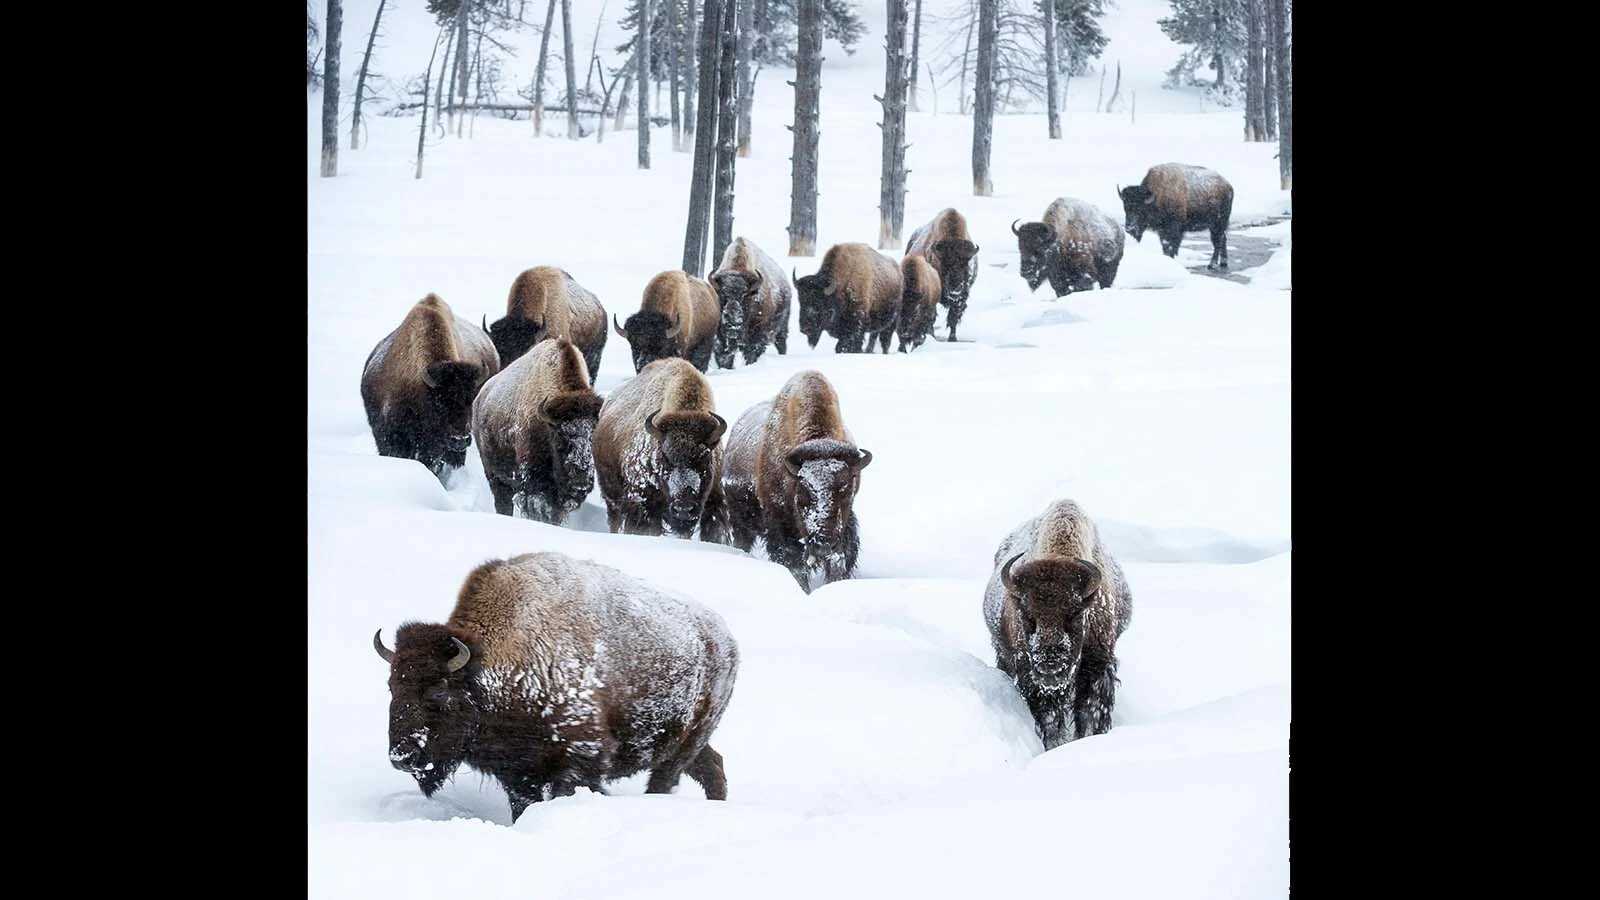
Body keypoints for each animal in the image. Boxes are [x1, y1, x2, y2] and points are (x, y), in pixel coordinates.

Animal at [374, 550, 740, 823]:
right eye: (392, 688)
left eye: (438, 692)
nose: (402, 756)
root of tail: (726, 638)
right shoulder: (519, 773)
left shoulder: (580, 758)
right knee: (712, 765)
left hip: (686, 743)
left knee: (668, 778)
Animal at [470, 337, 603, 524]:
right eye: (560, 439)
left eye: (594, 438)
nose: (580, 479)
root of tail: (480, 397)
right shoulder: (533, 486)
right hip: (495, 475)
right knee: (502, 501)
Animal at [708, 236, 793, 369]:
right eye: (722, 293)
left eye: (745, 295)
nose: (732, 318)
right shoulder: (721, 339)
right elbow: (724, 357)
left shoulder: (756, 338)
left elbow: (751, 353)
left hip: (782, 328)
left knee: (781, 343)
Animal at [721, 369, 872, 593]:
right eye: (803, 492)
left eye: (846, 491)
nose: (822, 544)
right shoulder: (782, 529)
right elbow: (795, 567)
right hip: (739, 522)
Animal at [983, 498, 1133, 750]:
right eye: (1026, 614)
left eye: (1075, 614)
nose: (1050, 667)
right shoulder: (1030, 675)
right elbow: (1049, 718)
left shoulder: (1097, 667)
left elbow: (1090, 711)